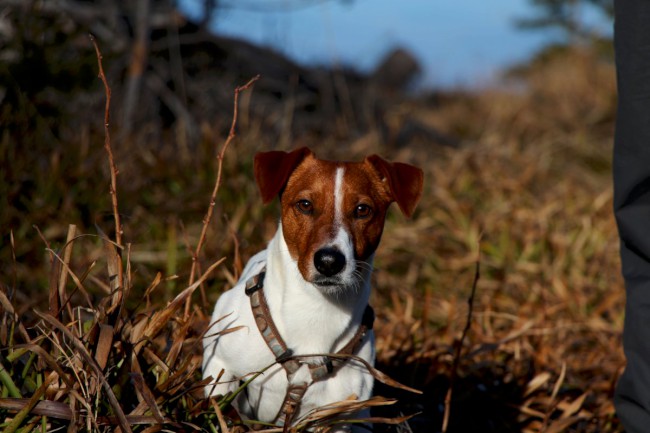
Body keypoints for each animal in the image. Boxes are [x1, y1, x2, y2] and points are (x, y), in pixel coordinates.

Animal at [202, 148, 422, 428]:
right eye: (305, 204)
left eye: (362, 210)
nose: (329, 262)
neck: (314, 310)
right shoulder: (219, 366)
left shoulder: (337, 416)